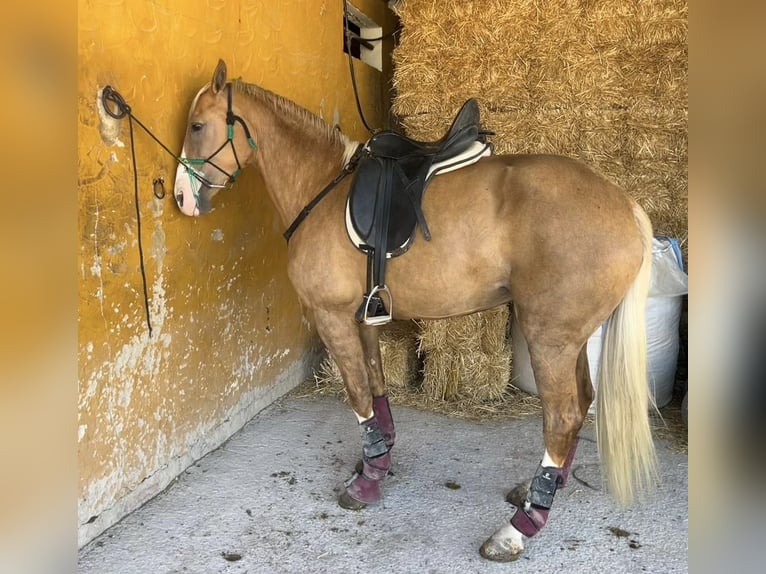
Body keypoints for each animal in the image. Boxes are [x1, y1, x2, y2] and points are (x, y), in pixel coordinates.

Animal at [174, 60, 660, 564]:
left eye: (197, 126)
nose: (181, 198)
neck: (322, 188)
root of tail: (626, 207)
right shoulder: (363, 317)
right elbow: (376, 385)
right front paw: (377, 460)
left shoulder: (332, 317)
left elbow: (358, 396)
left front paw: (366, 483)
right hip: (571, 339)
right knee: (580, 405)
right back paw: (537, 491)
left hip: (551, 338)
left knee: (562, 418)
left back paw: (519, 528)